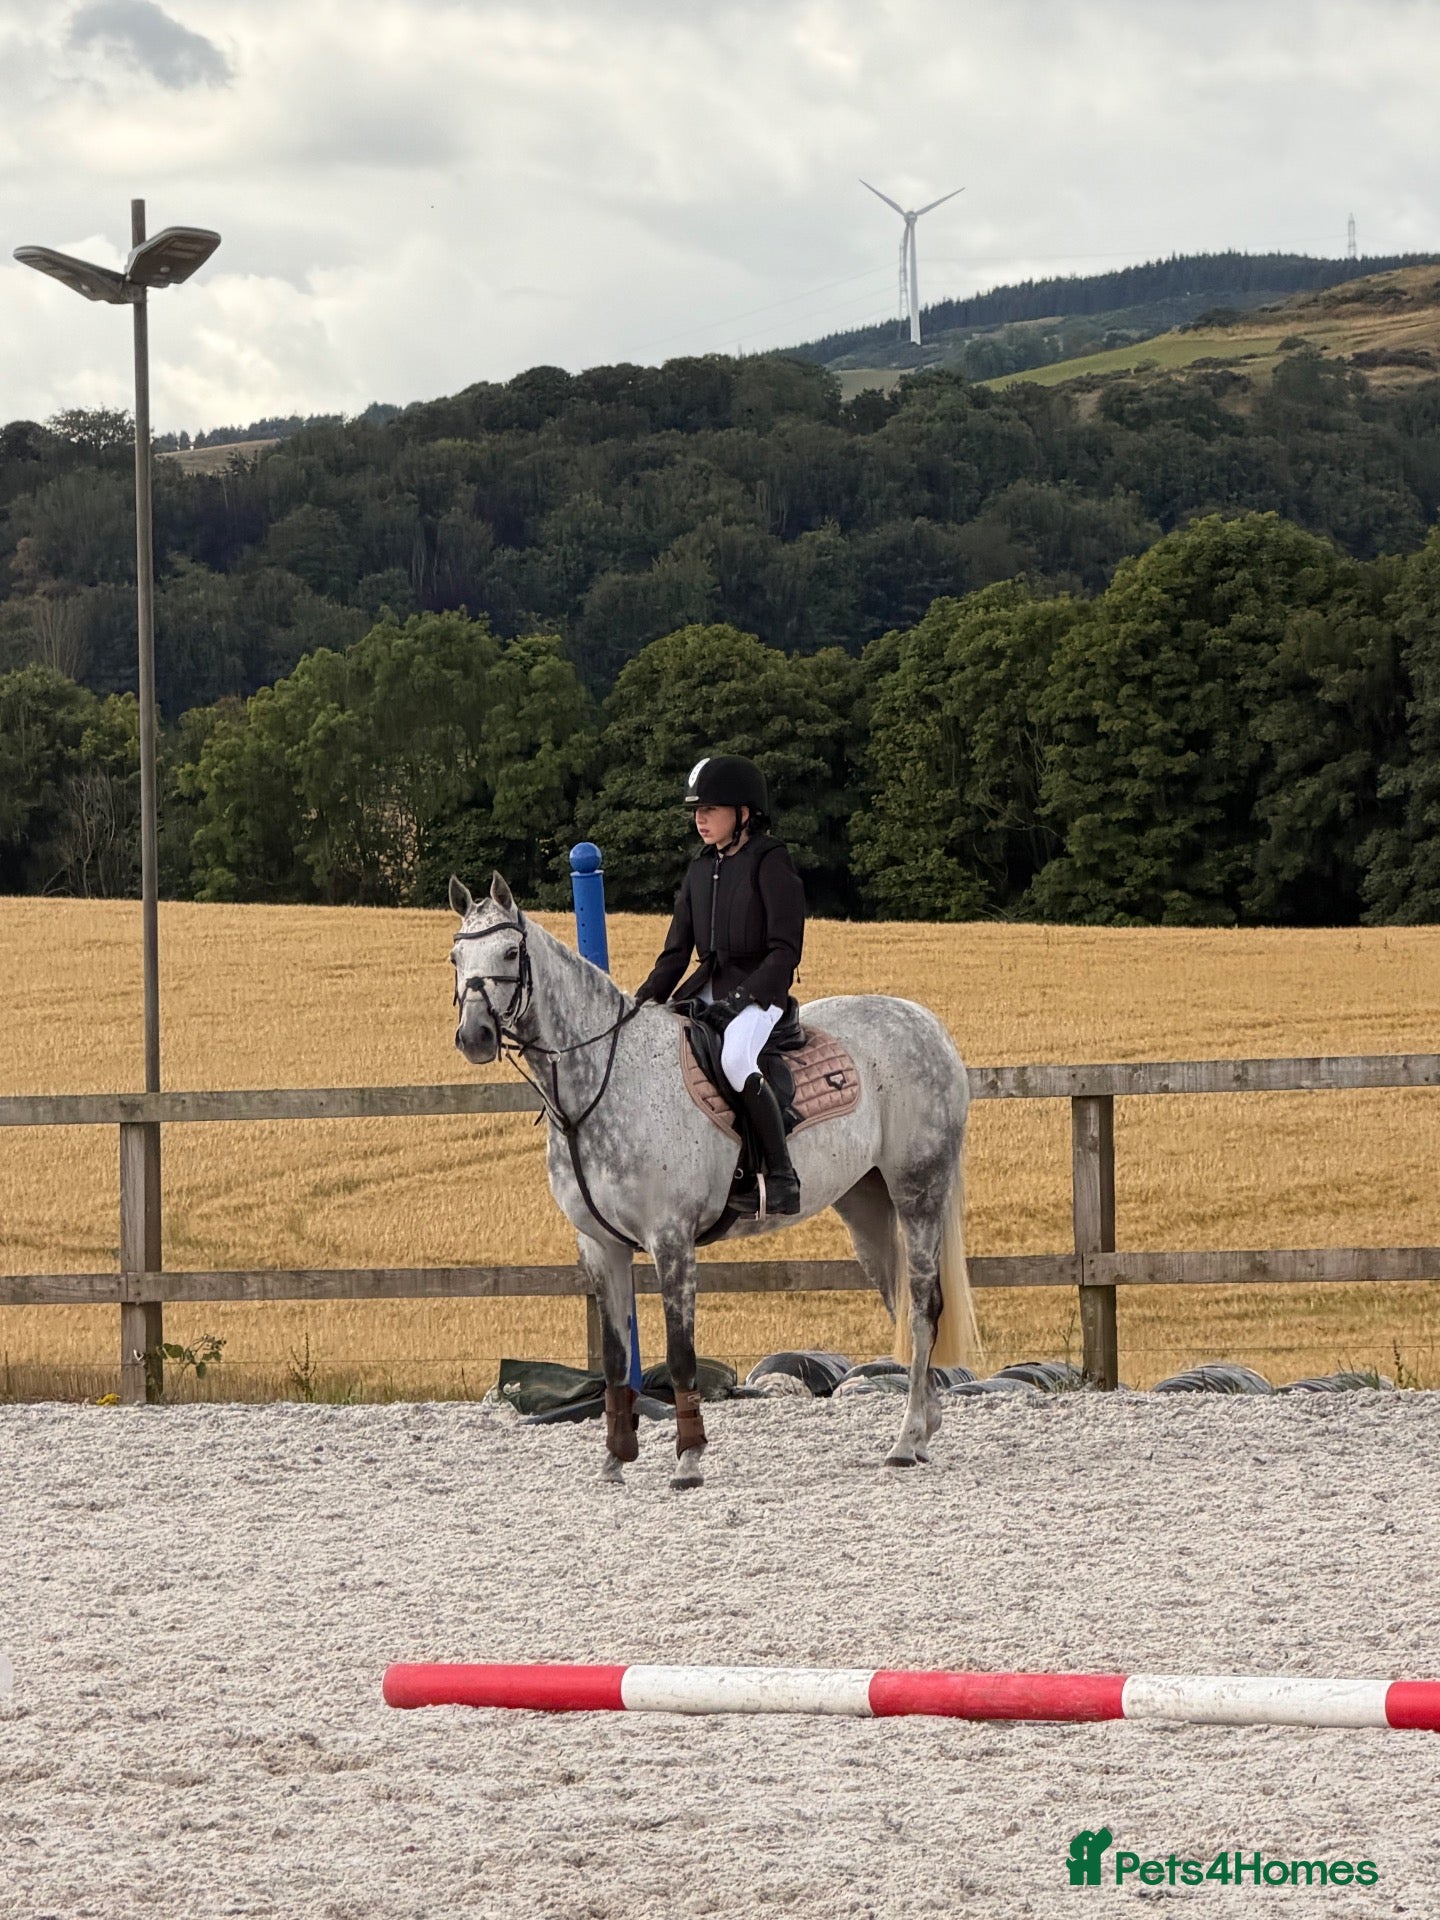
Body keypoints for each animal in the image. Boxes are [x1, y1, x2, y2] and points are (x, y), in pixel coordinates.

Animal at [449, 872, 979, 1489]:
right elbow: (613, 1359)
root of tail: (925, 1022)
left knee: (922, 1306)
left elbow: (681, 1354)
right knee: (905, 1306)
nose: (475, 1036)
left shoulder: (672, 1241)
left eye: (511, 952)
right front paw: (614, 1460)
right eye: (456, 957)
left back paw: (904, 1440)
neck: (604, 1081)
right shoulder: (600, 1245)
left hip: (919, 1192)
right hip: (867, 1209)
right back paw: (924, 1426)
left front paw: (688, 1459)